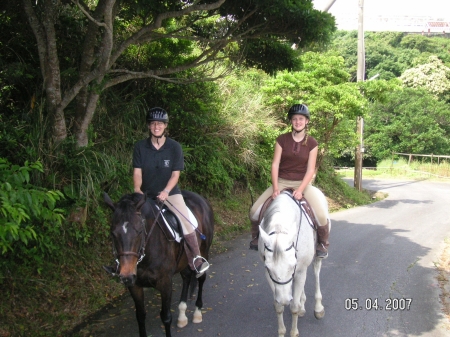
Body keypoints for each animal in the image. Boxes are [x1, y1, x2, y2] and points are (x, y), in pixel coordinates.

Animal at [103, 190, 214, 334]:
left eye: (139, 231)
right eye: (113, 233)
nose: (126, 276)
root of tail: (201, 199)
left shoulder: (165, 283)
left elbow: (166, 317)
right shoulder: (134, 286)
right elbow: (140, 316)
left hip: (204, 251)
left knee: (201, 278)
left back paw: (197, 312)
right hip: (184, 260)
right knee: (186, 278)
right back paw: (182, 315)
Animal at [258, 190, 328, 334]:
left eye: (292, 266)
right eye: (269, 268)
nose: (285, 300)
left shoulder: (299, 269)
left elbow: (293, 306)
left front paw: (294, 332)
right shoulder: (269, 275)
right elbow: (278, 306)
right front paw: (281, 331)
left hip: (316, 255)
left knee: (316, 271)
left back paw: (318, 308)